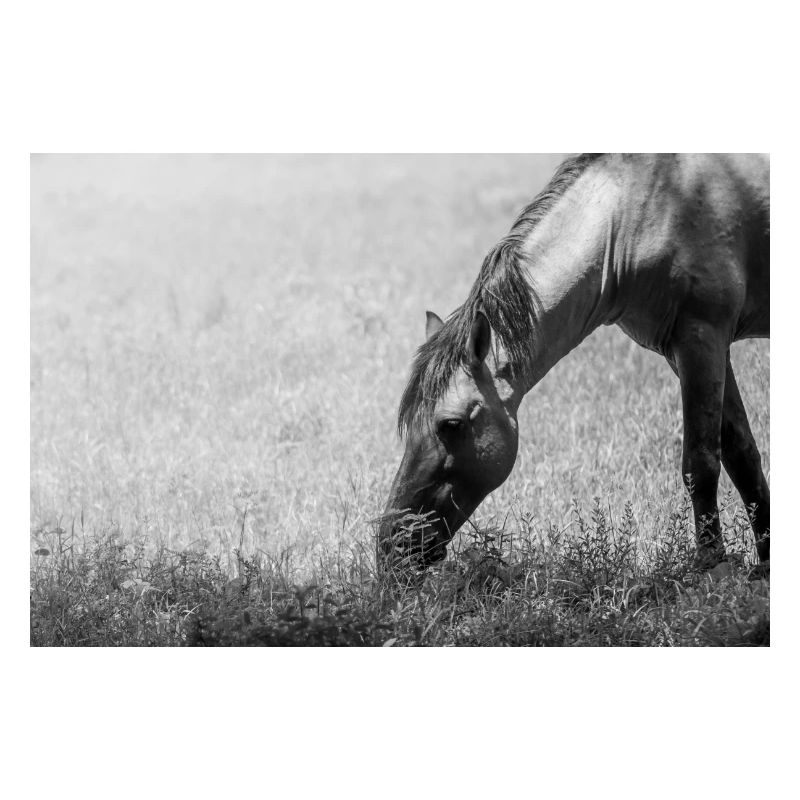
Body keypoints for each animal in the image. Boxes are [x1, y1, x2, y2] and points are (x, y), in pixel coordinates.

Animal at [379, 153, 769, 573]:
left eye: (450, 425)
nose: (391, 544)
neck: (638, 212)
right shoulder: (690, 352)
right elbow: (741, 454)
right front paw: (764, 566)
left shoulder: (702, 338)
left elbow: (702, 462)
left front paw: (713, 568)